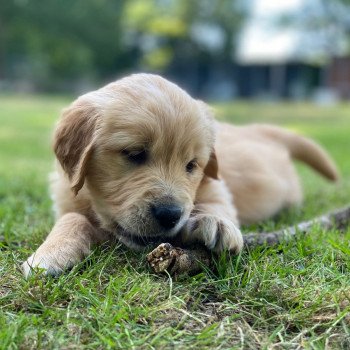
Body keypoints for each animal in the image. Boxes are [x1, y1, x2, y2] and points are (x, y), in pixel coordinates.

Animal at [20, 73, 338, 276]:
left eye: (191, 165)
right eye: (134, 153)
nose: (170, 215)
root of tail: (262, 130)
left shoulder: (215, 184)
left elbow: (217, 205)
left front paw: (215, 223)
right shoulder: (68, 200)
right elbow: (72, 219)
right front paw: (50, 253)